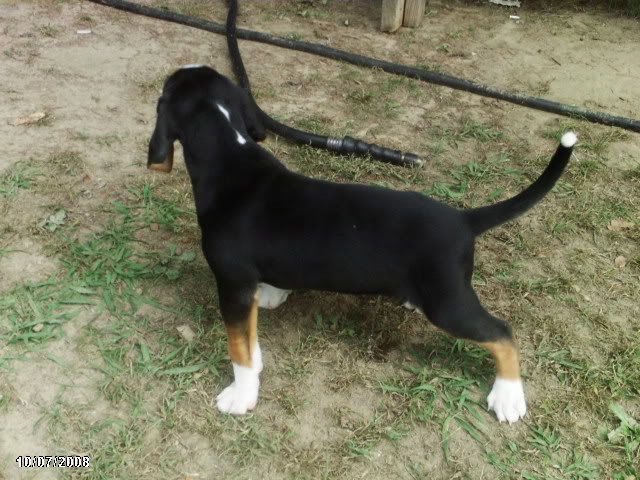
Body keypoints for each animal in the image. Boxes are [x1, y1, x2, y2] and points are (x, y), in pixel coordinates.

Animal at [147, 65, 577, 423]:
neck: (230, 154)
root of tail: (463, 218)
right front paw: (269, 301)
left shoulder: (232, 285)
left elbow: (239, 350)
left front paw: (241, 394)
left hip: (448, 305)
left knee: (502, 333)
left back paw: (509, 396)